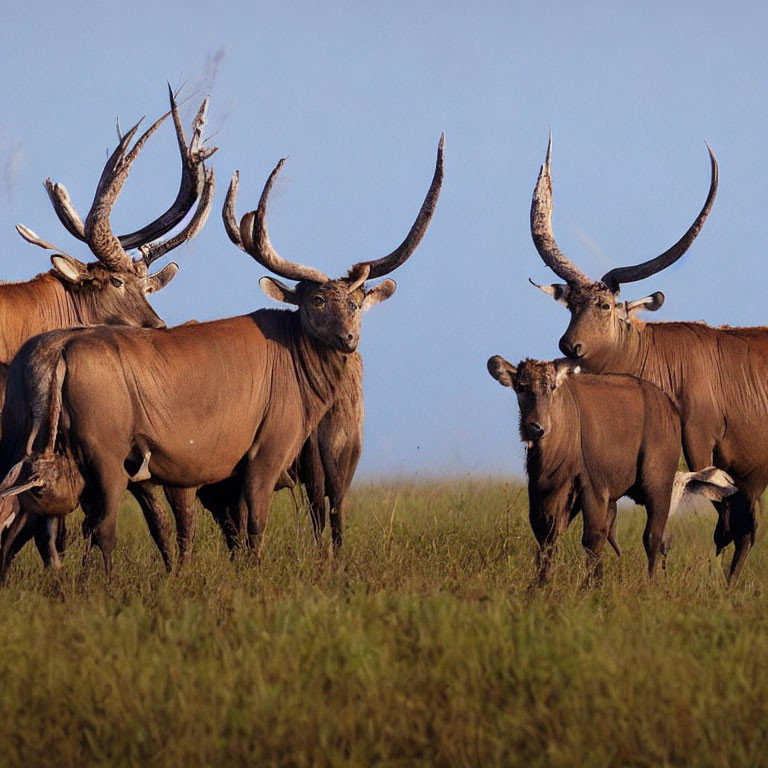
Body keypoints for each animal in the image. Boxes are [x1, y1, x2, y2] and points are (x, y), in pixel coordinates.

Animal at [488, 356, 736, 584]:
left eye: (552, 387)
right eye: (521, 386)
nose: (536, 428)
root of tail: (668, 405)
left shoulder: (594, 489)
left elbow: (592, 539)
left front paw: (591, 587)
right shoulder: (545, 492)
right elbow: (547, 537)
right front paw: (539, 585)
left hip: (658, 486)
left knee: (653, 537)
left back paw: (650, 583)